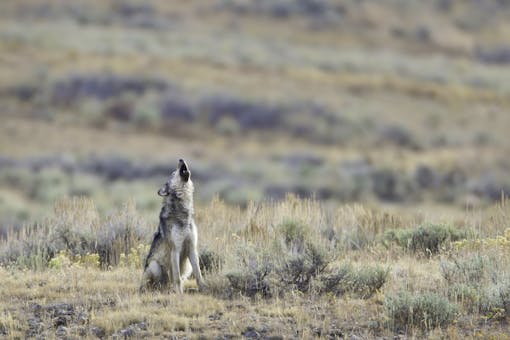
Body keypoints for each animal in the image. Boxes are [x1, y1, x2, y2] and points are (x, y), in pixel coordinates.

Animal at [140, 158, 204, 294]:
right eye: (173, 173)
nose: (180, 159)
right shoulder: (175, 249)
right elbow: (177, 278)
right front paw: (179, 294)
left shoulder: (192, 248)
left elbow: (199, 275)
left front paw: (204, 289)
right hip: (154, 265)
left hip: (187, 267)